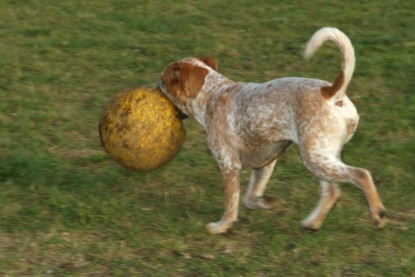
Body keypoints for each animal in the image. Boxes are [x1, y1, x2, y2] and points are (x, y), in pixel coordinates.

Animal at [157, 26, 386, 233]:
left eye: (164, 80)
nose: (155, 87)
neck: (213, 93)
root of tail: (331, 92)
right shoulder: (265, 164)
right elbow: (250, 198)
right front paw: (268, 202)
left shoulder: (229, 164)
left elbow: (232, 203)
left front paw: (222, 227)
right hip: (323, 157)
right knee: (331, 192)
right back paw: (311, 223)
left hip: (315, 157)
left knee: (361, 175)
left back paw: (378, 214)